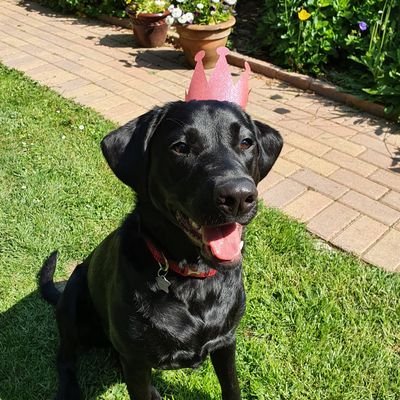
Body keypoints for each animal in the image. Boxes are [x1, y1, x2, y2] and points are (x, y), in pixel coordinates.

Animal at [39, 100, 282, 400]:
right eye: (181, 147)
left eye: (246, 142)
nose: (238, 196)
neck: (193, 280)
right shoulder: (136, 360)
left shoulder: (226, 341)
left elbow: (231, 385)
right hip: (72, 302)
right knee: (65, 358)